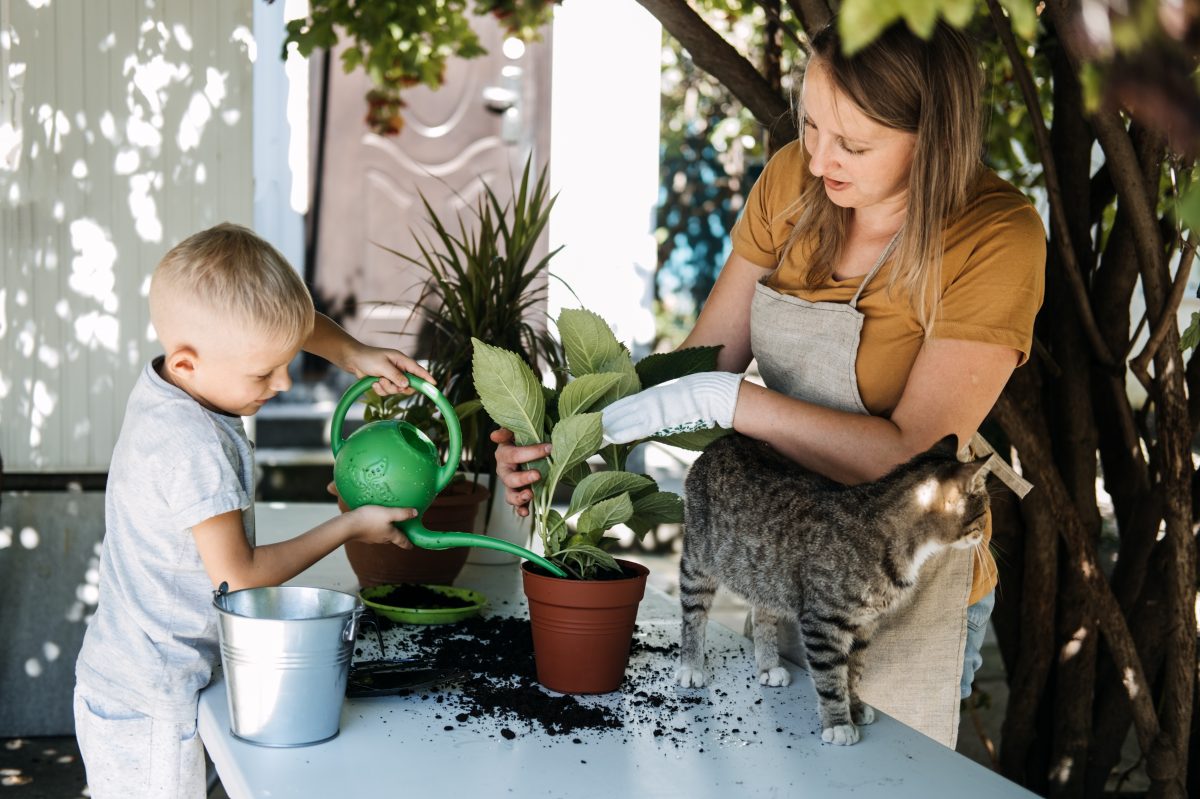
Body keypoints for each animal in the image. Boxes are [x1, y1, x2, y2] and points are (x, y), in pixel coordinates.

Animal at [681, 431, 988, 743]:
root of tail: (724, 440)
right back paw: (691, 666)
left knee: (763, 612)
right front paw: (839, 723)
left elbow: (854, 671)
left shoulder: (866, 625)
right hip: (698, 559)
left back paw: (768, 665)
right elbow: (831, 676)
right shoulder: (823, 623)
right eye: (983, 511)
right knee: (694, 614)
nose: (985, 532)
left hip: (765, 575)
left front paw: (854, 705)